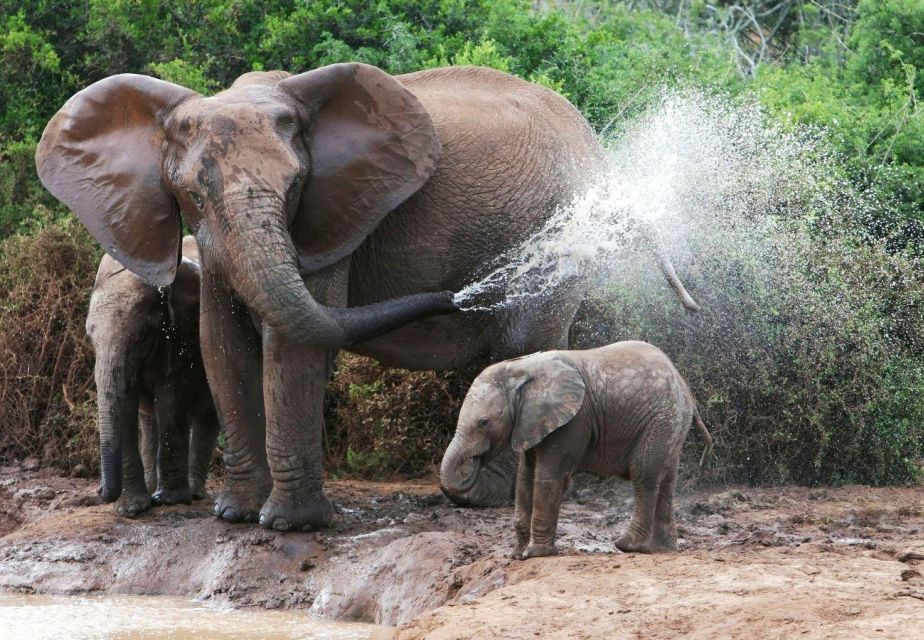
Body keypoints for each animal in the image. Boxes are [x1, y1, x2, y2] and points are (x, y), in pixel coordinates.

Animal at [86, 236, 220, 517]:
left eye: (141, 336)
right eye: (90, 338)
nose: (100, 492)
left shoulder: (180, 333)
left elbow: (169, 395)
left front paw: (170, 500)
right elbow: (126, 405)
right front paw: (132, 509)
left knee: (207, 413)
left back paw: (193, 493)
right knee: (150, 419)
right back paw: (152, 489)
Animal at [440, 341, 713, 558]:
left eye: (483, 423)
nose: (474, 462)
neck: (522, 368)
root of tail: (686, 389)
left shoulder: (573, 421)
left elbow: (548, 476)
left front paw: (535, 554)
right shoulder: (532, 423)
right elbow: (525, 478)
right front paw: (516, 555)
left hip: (661, 418)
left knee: (644, 474)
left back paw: (627, 545)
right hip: (671, 423)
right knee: (666, 479)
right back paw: (660, 549)